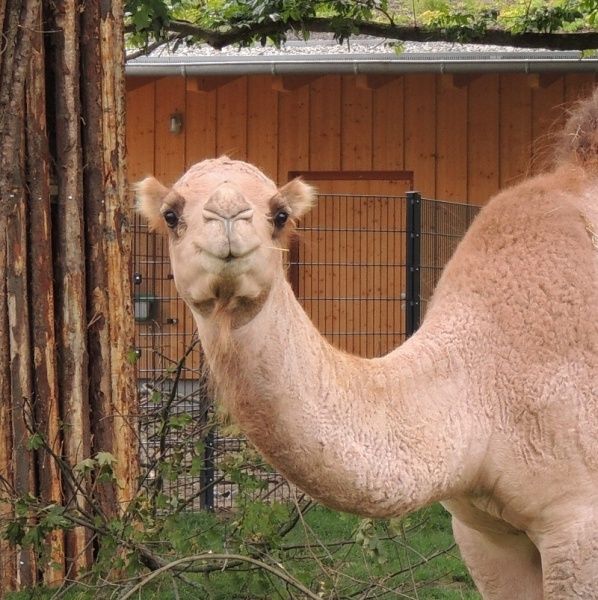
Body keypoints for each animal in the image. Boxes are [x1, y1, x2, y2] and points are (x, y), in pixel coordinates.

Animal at [138, 90, 598, 600]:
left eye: (280, 215)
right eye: (171, 214)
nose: (227, 218)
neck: (484, 388)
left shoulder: (578, 525)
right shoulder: (484, 534)